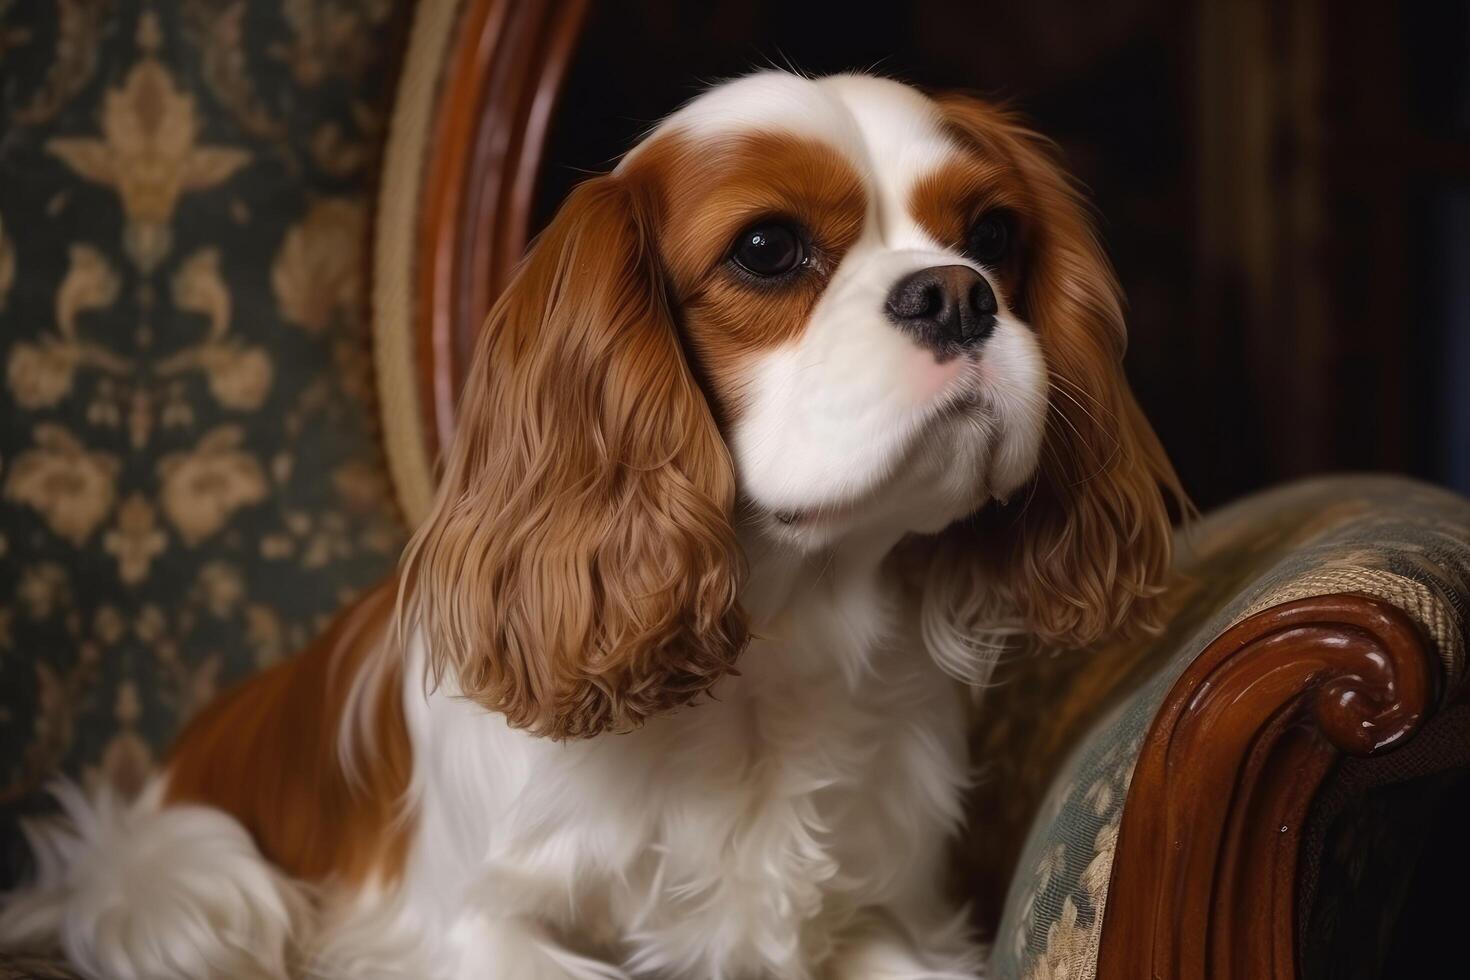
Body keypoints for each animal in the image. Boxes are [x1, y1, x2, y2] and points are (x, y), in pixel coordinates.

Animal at [0, 70, 1176, 980]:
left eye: (993, 234)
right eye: (767, 248)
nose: (957, 294)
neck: (774, 645)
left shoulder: (889, 918)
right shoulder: (462, 929)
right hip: (185, 879)